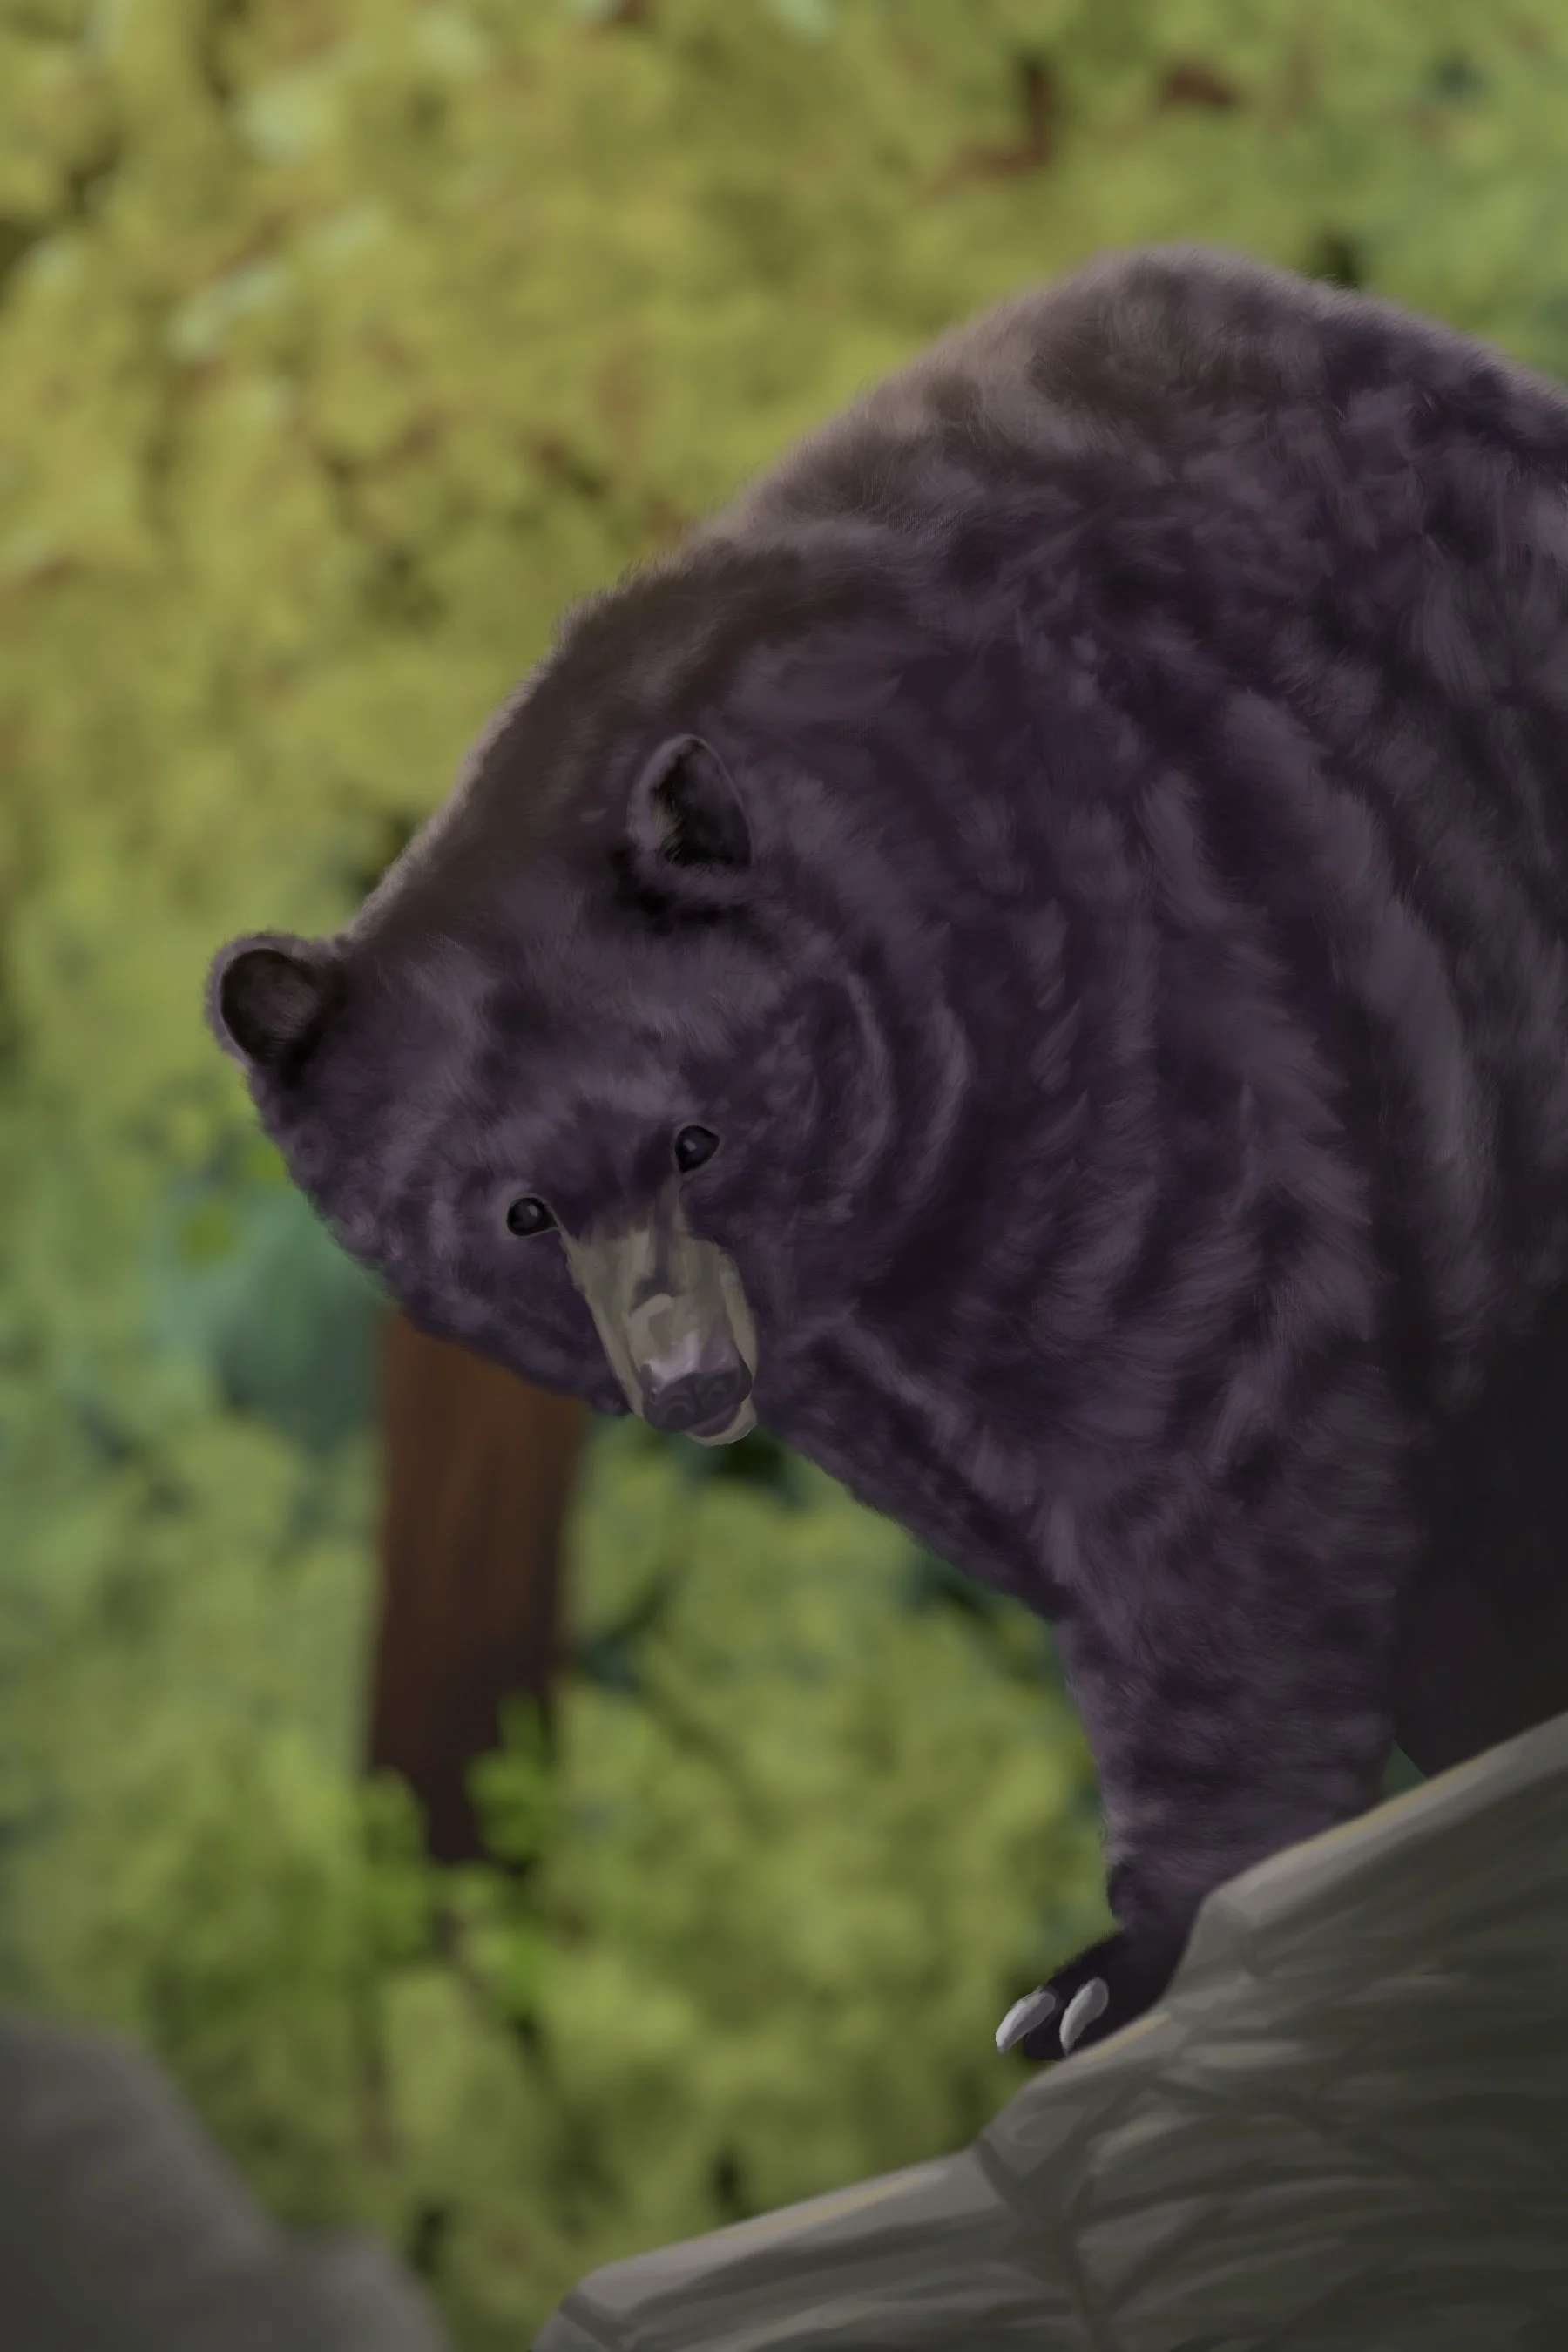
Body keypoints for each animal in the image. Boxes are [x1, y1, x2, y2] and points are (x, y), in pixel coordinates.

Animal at [207, 242, 1568, 2062]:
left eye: (697, 1135)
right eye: (514, 1212)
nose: (695, 1387)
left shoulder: (1150, 1028)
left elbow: (1214, 1459)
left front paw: (1114, 1961)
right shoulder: (866, 1363)